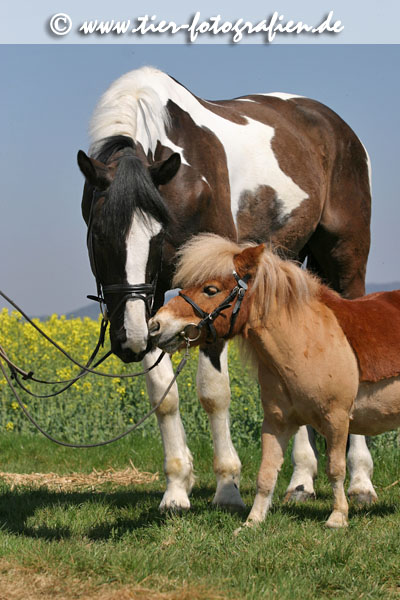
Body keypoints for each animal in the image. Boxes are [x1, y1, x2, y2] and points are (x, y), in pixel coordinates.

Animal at [149, 232, 400, 528]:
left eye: (210, 289)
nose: (156, 325)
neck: (307, 338)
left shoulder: (336, 420)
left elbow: (335, 470)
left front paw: (338, 517)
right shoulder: (275, 422)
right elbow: (266, 474)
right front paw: (252, 522)